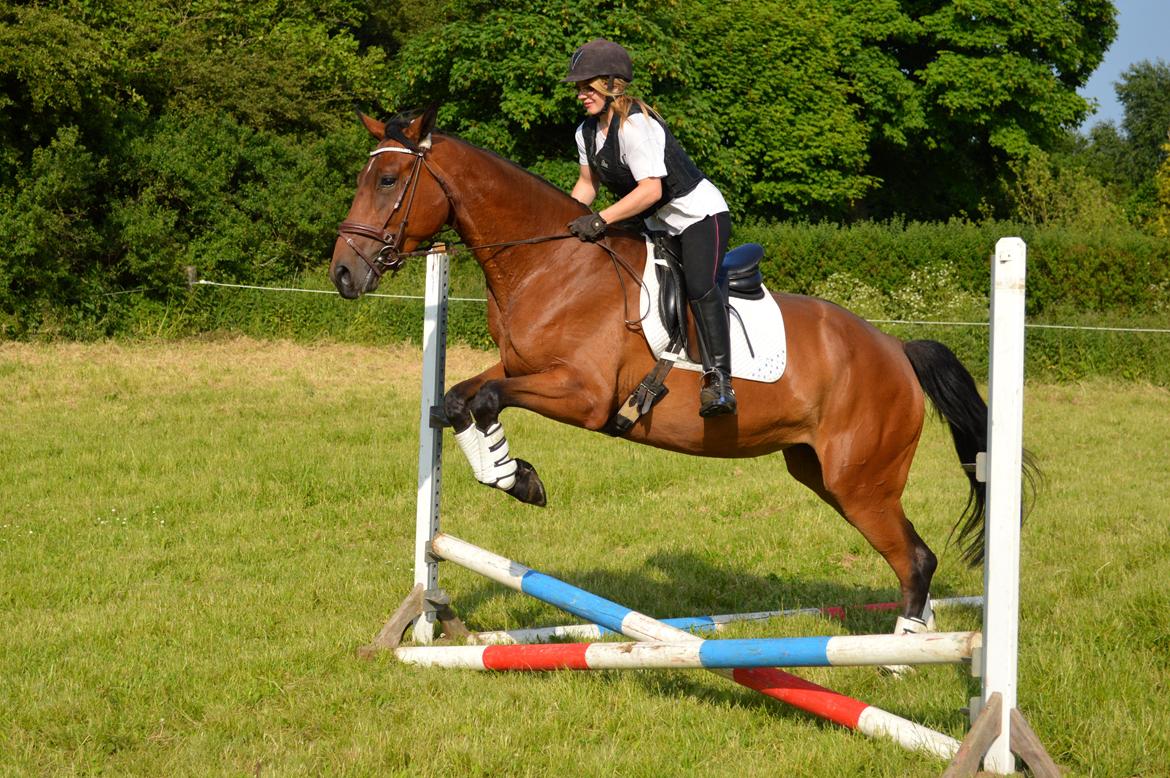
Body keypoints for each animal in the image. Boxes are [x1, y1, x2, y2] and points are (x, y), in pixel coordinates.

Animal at [329, 104, 1024, 631]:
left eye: (388, 180)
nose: (343, 274)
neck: (549, 264)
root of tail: (897, 350)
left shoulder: (581, 396)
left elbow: (484, 399)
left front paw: (519, 479)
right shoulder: (522, 367)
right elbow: (457, 399)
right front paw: (512, 474)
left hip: (863, 481)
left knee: (917, 560)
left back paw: (901, 663)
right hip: (824, 474)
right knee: (912, 557)